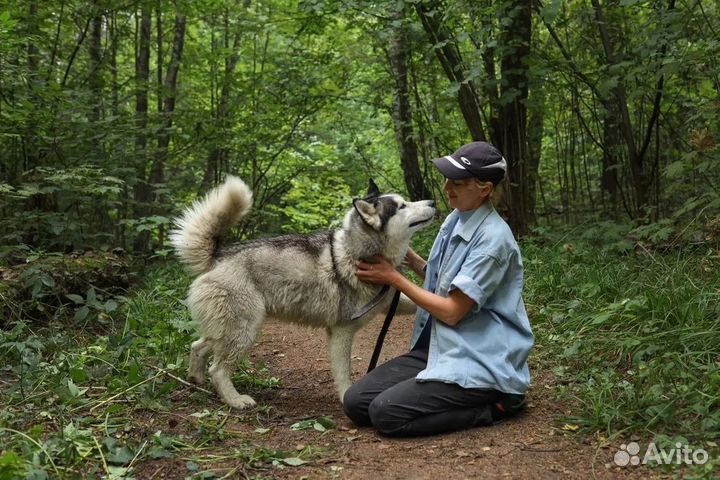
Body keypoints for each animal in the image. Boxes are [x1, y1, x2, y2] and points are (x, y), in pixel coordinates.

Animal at [172, 176, 436, 408]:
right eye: (402, 206)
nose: (433, 201)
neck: (357, 253)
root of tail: (219, 256)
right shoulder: (341, 332)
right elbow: (344, 373)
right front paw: (345, 397)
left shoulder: (392, 304)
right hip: (245, 331)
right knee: (218, 369)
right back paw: (235, 400)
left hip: (230, 329)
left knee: (198, 346)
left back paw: (196, 379)